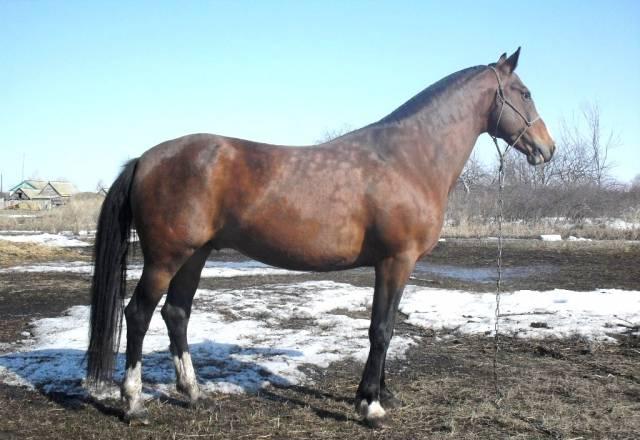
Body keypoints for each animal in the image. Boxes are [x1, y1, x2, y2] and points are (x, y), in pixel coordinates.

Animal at [87, 48, 555, 427]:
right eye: (525, 92)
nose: (547, 149)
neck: (408, 158)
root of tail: (145, 159)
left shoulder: (395, 265)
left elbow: (385, 325)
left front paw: (380, 394)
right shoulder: (396, 260)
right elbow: (382, 329)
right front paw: (371, 407)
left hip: (195, 255)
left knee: (177, 314)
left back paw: (194, 394)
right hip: (166, 257)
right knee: (139, 315)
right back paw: (133, 404)